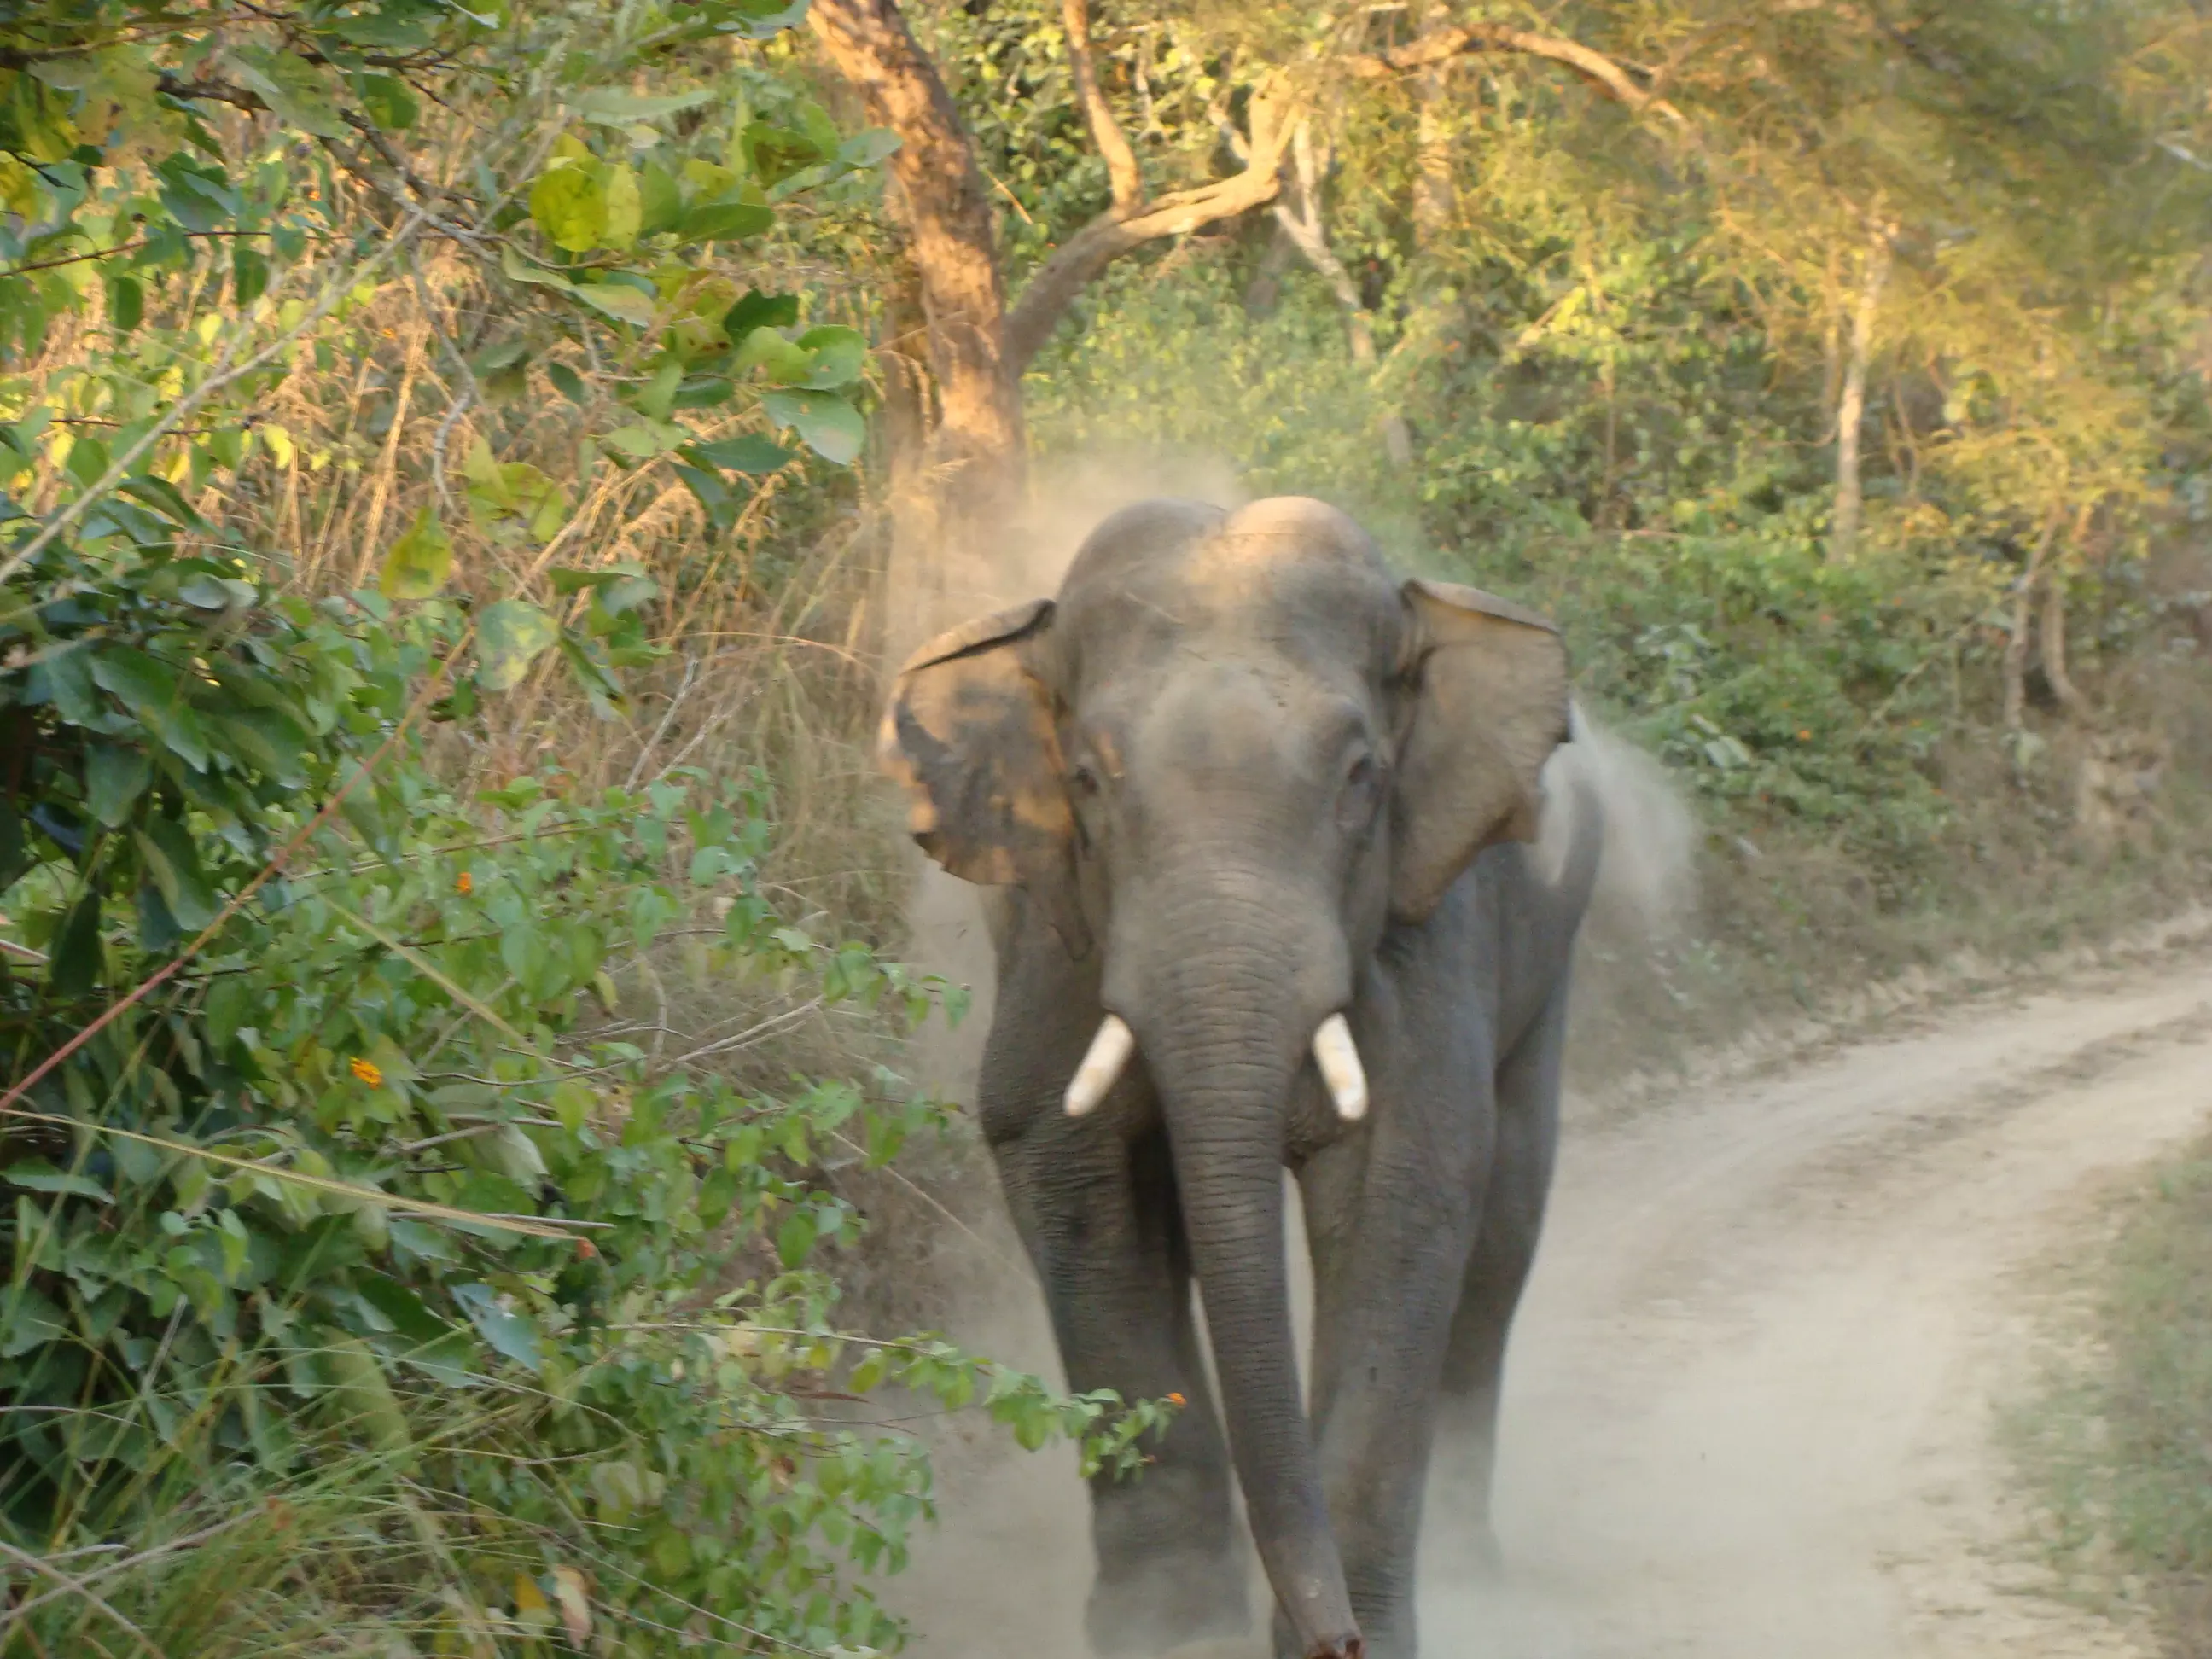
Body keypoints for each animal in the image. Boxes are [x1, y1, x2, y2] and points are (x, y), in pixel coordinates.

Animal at [878, 496, 1601, 1659]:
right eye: (1086, 781)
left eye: (1362, 778)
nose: (1335, 1642)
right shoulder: (1054, 941)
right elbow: (1065, 1166)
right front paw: (1165, 1634)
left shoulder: (1425, 932)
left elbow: (1404, 1185)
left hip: (1550, 968)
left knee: (1502, 1237)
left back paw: (1470, 1562)